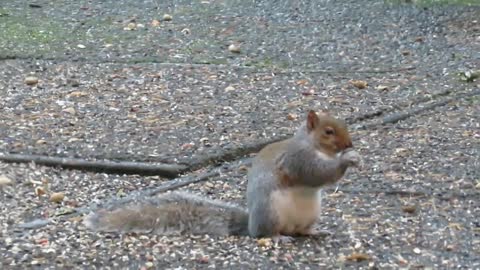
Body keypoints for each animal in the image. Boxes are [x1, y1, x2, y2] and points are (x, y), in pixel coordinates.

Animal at [83, 109, 360, 240]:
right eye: (328, 132)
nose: (349, 144)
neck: (312, 145)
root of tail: (250, 225)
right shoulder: (297, 160)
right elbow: (316, 174)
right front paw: (347, 160)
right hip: (271, 212)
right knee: (268, 233)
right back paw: (278, 237)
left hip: (311, 214)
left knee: (301, 231)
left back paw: (314, 232)